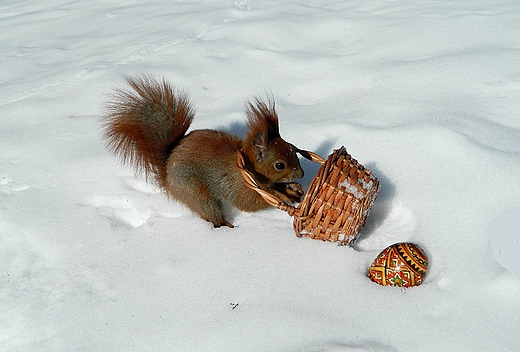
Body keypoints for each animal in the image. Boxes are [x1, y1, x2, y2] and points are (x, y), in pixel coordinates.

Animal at [100, 75, 304, 227]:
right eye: (280, 165)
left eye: (292, 149)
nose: (301, 174)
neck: (245, 168)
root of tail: (167, 174)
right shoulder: (238, 188)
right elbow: (250, 202)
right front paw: (280, 196)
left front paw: (293, 189)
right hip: (194, 192)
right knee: (211, 215)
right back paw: (226, 225)